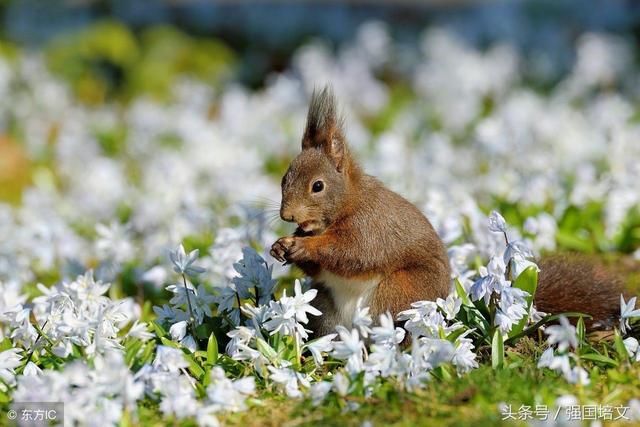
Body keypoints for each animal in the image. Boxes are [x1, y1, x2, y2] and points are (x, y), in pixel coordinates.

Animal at [270, 87, 624, 338]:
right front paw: (281, 245)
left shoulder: (371, 226)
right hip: (324, 305)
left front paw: (304, 245)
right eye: (284, 178)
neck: (347, 204)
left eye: (318, 186)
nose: (288, 216)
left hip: (399, 293)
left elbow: (353, 252)